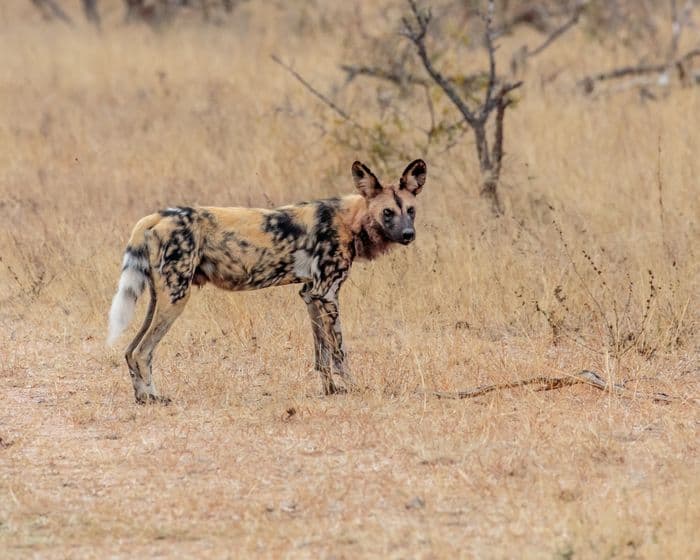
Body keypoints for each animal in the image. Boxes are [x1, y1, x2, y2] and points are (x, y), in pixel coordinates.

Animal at [108, 159, 426, 402]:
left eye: (410, 211)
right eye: (387, 213)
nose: (408, 235)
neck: (350, 220)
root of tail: (156, 216)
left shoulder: (310, 294)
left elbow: (321, 355)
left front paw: (331, 391)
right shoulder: (327, 294)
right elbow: (339, 351)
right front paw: (353, 386)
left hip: (158, 299)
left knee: (130, 351)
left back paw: (142, 397)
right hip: (175, 299)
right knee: (143, 352)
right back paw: (153, 398)